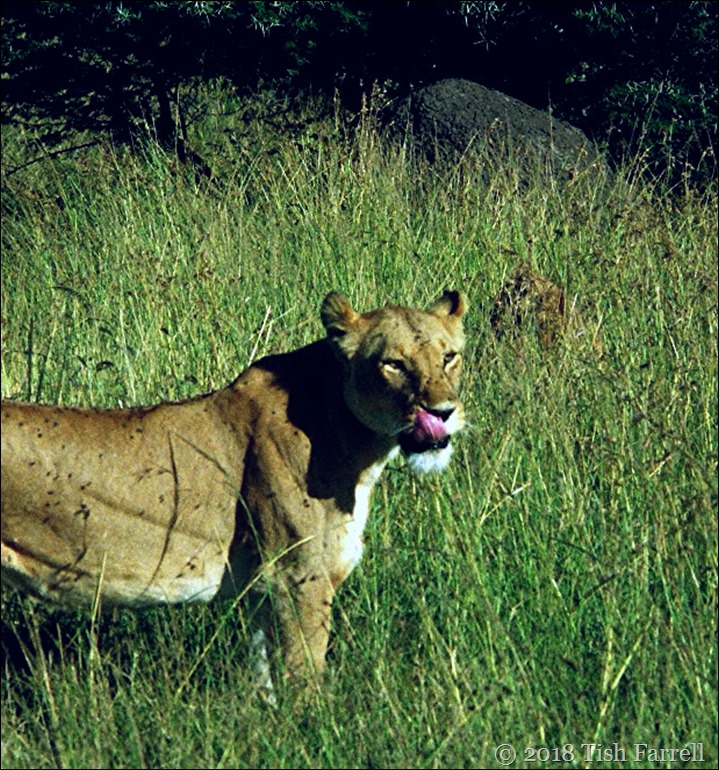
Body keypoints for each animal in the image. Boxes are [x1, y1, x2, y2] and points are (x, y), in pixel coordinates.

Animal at [1, 290, 467, 695]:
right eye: (393, 364)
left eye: (449, 358)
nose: (443, 412)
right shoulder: (300, 578)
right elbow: (305, 679)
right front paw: (315, 728)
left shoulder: (261, 590)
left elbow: (263, 678)